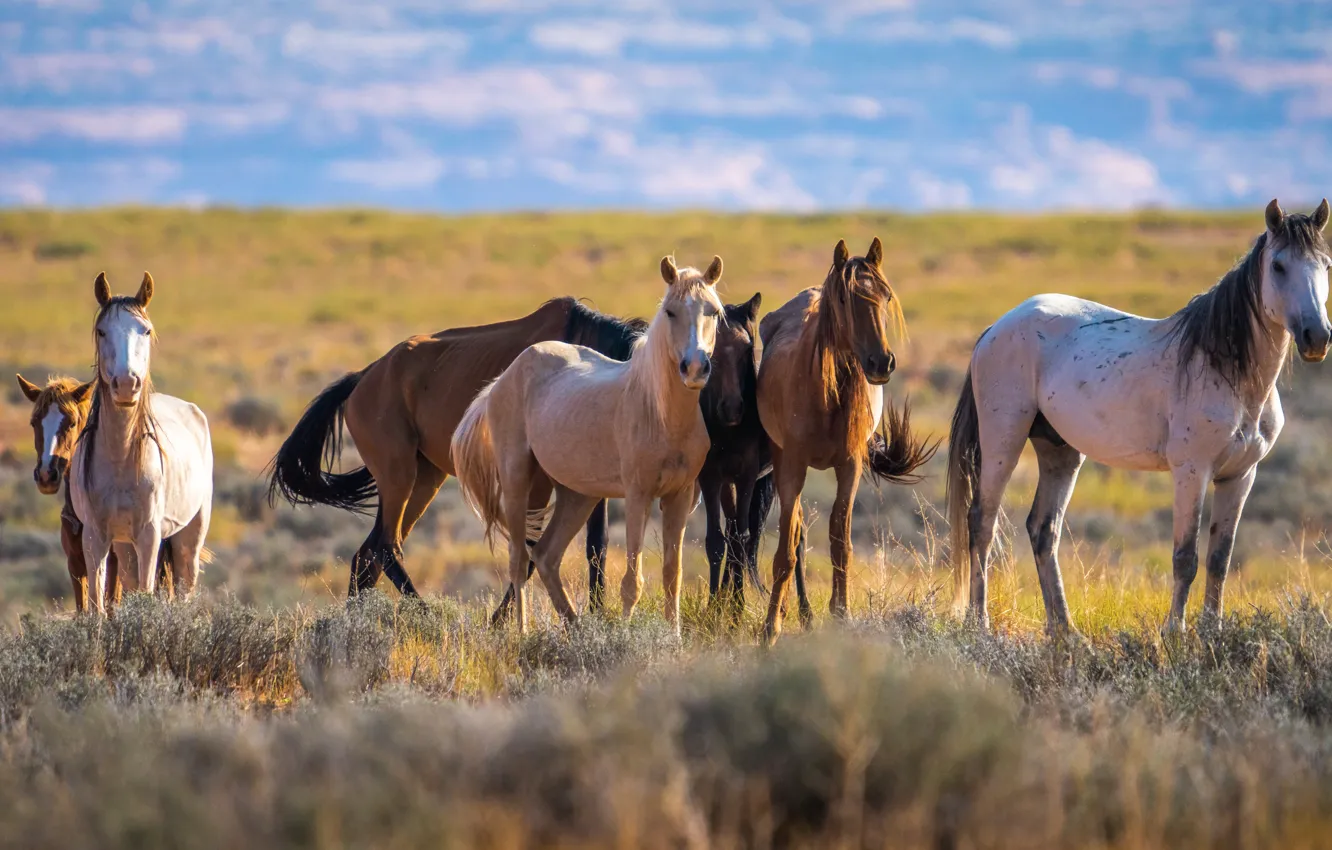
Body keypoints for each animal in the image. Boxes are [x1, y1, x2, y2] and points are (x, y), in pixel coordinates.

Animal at [71, 273, 213, 612]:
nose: (126, 384)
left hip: (189, 537)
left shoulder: (149, 536)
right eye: (102, 331)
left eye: (145, 330)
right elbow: (98, 605)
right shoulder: (95, 538)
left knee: (184, 588)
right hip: (125, 547)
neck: (121, 460)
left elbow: (147, 595)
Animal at [266, 295, 644, 602]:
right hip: (398, 475)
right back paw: (425, 614)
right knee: (386, 547)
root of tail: (364, 377)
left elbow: (596, 547)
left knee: (368, 555)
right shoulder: (537, 483)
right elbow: (532, 550)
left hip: (424, 478)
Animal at [455, 255, 729, 636]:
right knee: (519, 560)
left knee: (546, 556)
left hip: (577, 495)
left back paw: (576, 627)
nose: (694, 368)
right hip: (517, 479)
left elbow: (671, 577)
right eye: (671, 312)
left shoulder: (679, 496)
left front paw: (673, 640)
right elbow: (632, 582)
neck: (658, 411)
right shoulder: (638, 495)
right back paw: (523, 633)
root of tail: (504, 377)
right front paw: (627, 638)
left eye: (713, 312)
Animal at [761, 239, 937, 644]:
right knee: (794, 532)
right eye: (844, 298)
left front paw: (841, 616)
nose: (881, 363)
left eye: (886, 297)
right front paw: (770, 628)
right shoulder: (792, 466)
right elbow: (785, 550)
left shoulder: (850, 466)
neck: (824, 396)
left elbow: (840, 542)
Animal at [948, 201, 1332, 634]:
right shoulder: (1191, 472)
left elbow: (1219, 559)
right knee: (982, 522)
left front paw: (1212, 633)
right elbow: (1186, 558)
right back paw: (980, 625)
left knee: (1043, 529)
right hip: (1004, 440)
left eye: (1326, 265)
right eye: (1279, 266)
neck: (1231, 373)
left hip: (1059, 450)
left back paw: (1066, 632)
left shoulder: (1240, 476)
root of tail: (996, 328)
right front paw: (1175, 634)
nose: (1317, 337)